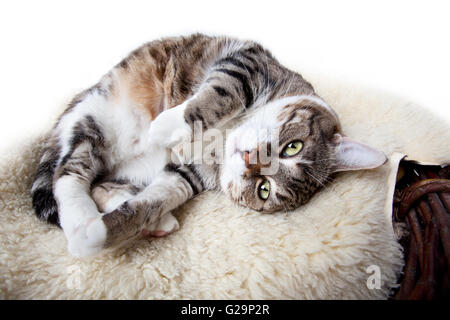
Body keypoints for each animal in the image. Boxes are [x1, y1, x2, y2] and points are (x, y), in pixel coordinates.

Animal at [30, 33, 386, 256]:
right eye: (293, 147)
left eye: (264, 189)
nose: (250, 159)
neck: (223, 138)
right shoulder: (248, 64)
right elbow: (222, 93)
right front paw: (164, 126)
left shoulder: (187, 174)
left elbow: (153, 201)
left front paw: (103, 234)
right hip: (96, 121)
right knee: (68, 175)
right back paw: (80, 218)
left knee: (98, 184)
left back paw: (143, 222)